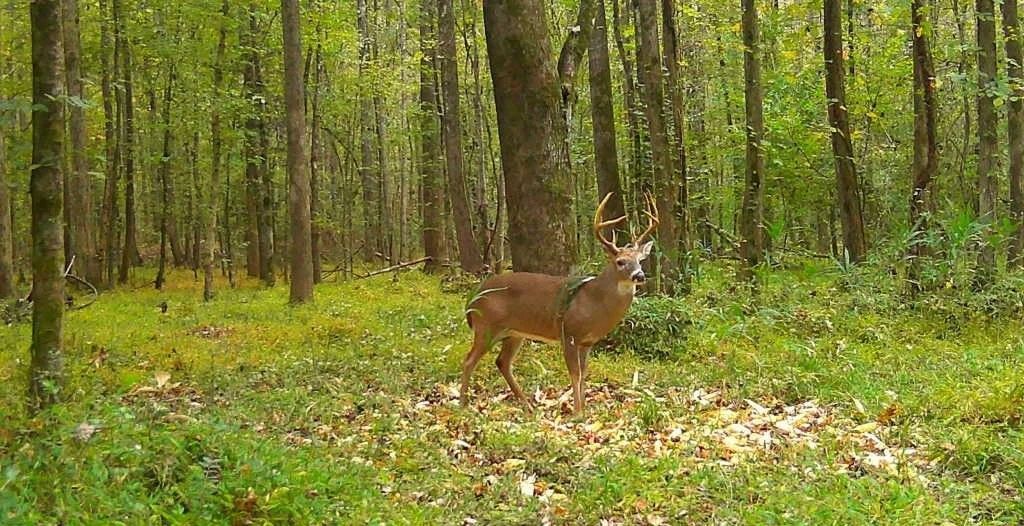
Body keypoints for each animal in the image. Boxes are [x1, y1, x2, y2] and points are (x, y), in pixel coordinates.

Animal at [462, 192, 658, 414]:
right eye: (620, 262)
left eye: (640, 261)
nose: (640, 276)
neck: (593, 301)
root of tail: (472, 298)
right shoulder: (569, 333)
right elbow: (575, 373)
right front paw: (577, 413)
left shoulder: (587, 342)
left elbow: (584, 372)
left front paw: (584, 409)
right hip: (485, 325)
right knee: (469, 361)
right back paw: (462, 404)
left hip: (513, 333)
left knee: (502, 362)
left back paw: (528, 405)